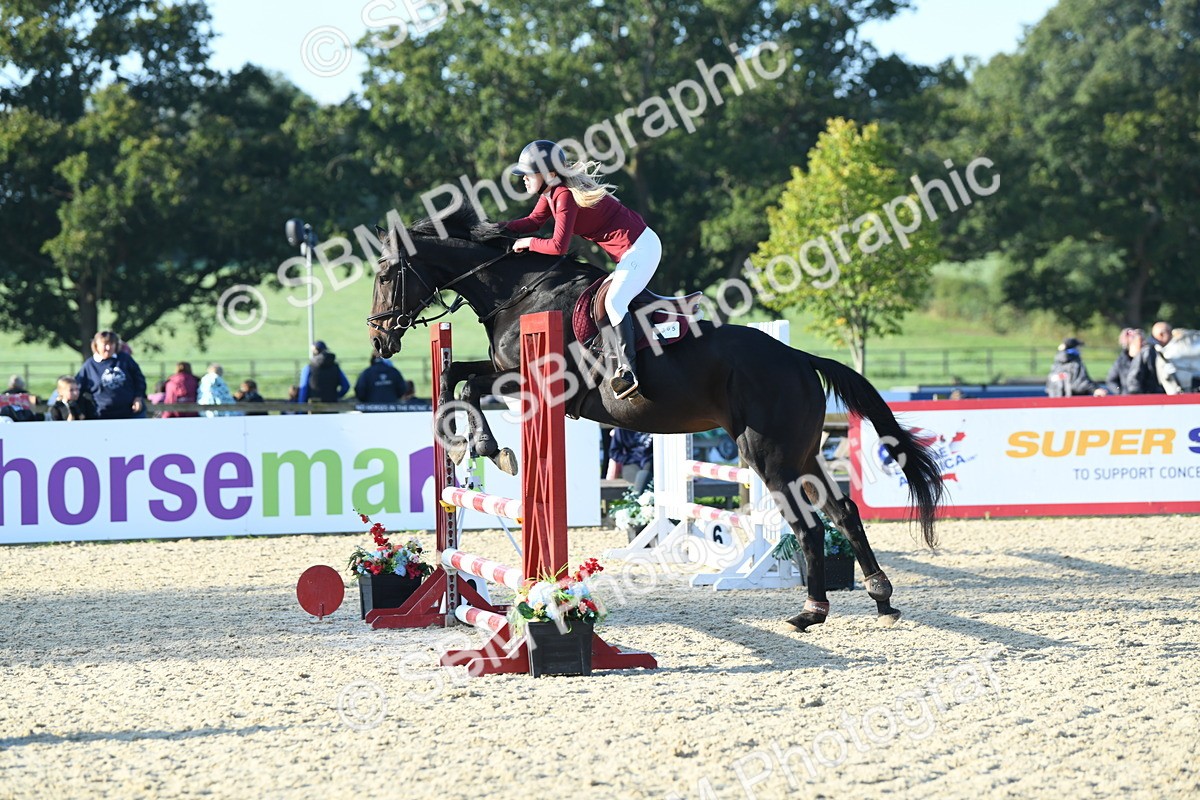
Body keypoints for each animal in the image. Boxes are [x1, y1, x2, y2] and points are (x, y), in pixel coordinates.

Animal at [367, 207, 944, 631]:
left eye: (385, 273)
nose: (379, 340)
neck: (519, 292)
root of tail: (800, 357)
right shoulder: (506, 372)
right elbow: (455, 375)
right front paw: (465, 443)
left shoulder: (536, 382)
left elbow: (468, 386)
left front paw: (488, 447)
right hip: (801, 451)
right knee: (842, 511)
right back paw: (881, 598)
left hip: (767, 453)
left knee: (807, 522)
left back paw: (810, 613)